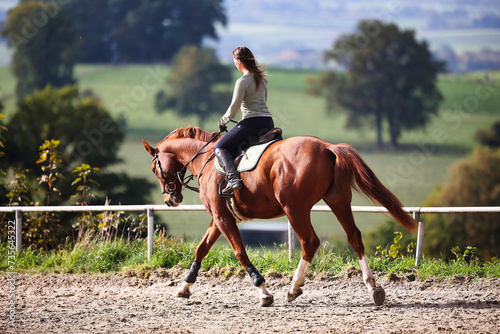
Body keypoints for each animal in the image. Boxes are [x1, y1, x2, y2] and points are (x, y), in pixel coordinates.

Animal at [144, 126, 418, 306]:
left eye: (154, 168)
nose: (171, 200)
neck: (206, 158)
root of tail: (326, 147)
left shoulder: (223, 218)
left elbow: (239, 252)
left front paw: (264, 292)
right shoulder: (218, 218)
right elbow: (201, 249)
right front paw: (184, 287)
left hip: (295, 208)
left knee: (310, 242)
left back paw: (294, 288)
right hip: (338, 201)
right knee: (354, 237)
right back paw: (373, 288)